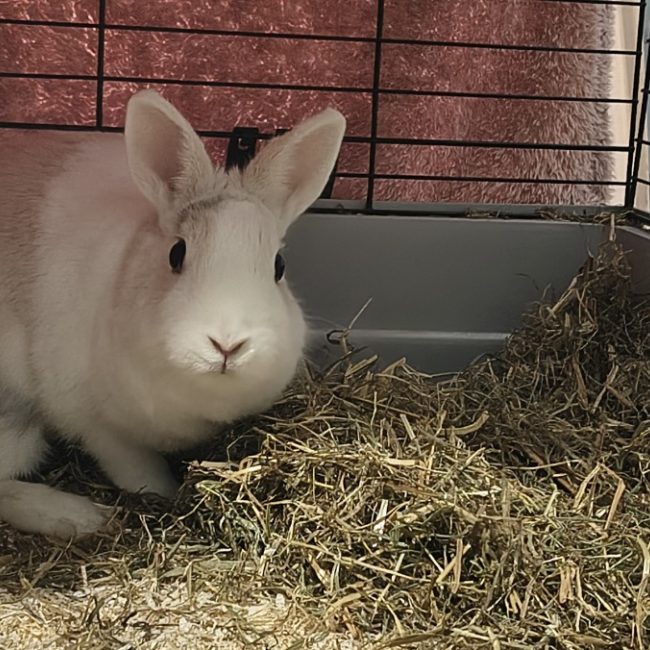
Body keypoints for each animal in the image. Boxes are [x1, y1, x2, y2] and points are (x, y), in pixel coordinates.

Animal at [0, 90, 346, 539]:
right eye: (176, 254)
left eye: (279, 267)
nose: (227, 344)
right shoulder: (96, 425)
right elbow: (136, 470)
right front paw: (165, 495)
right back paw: (79, 516)